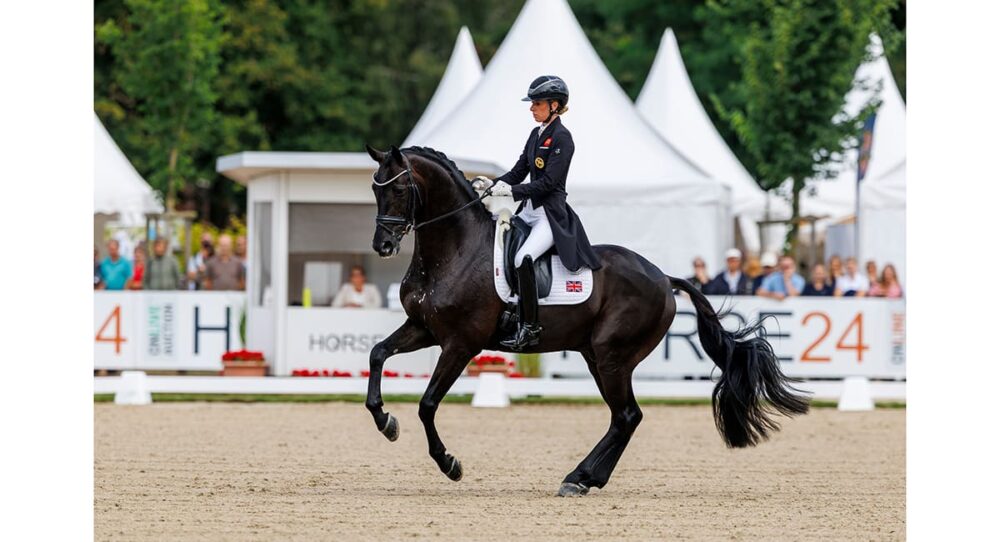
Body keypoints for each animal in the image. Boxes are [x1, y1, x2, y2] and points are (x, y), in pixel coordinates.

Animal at [363, 144, 809, 496]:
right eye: (374, 189)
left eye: (398, 189)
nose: (383, 245)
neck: (454, 250)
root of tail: (663, 277)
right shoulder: (424, 329)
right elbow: (377, 354)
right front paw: (386, 421)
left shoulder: (461, 343)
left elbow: (427, 404)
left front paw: (449, 464)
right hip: (597, 356)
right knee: (626, 417)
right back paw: (584, 478)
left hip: (612, 357)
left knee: (626, 416)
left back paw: (579, 478)